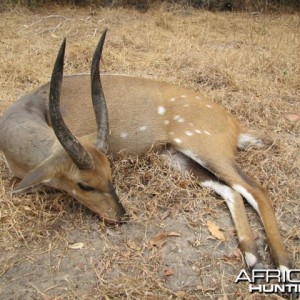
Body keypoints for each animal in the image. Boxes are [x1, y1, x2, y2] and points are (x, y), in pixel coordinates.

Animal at [0, 29, 296, 292]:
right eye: (85, 184)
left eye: (109, 174)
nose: (121, 216)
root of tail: (235, 126)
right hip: (177, 158)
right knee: (232, 191)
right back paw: (254, 260)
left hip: (205, 147)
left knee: (257, 190)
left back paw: (283, 269)